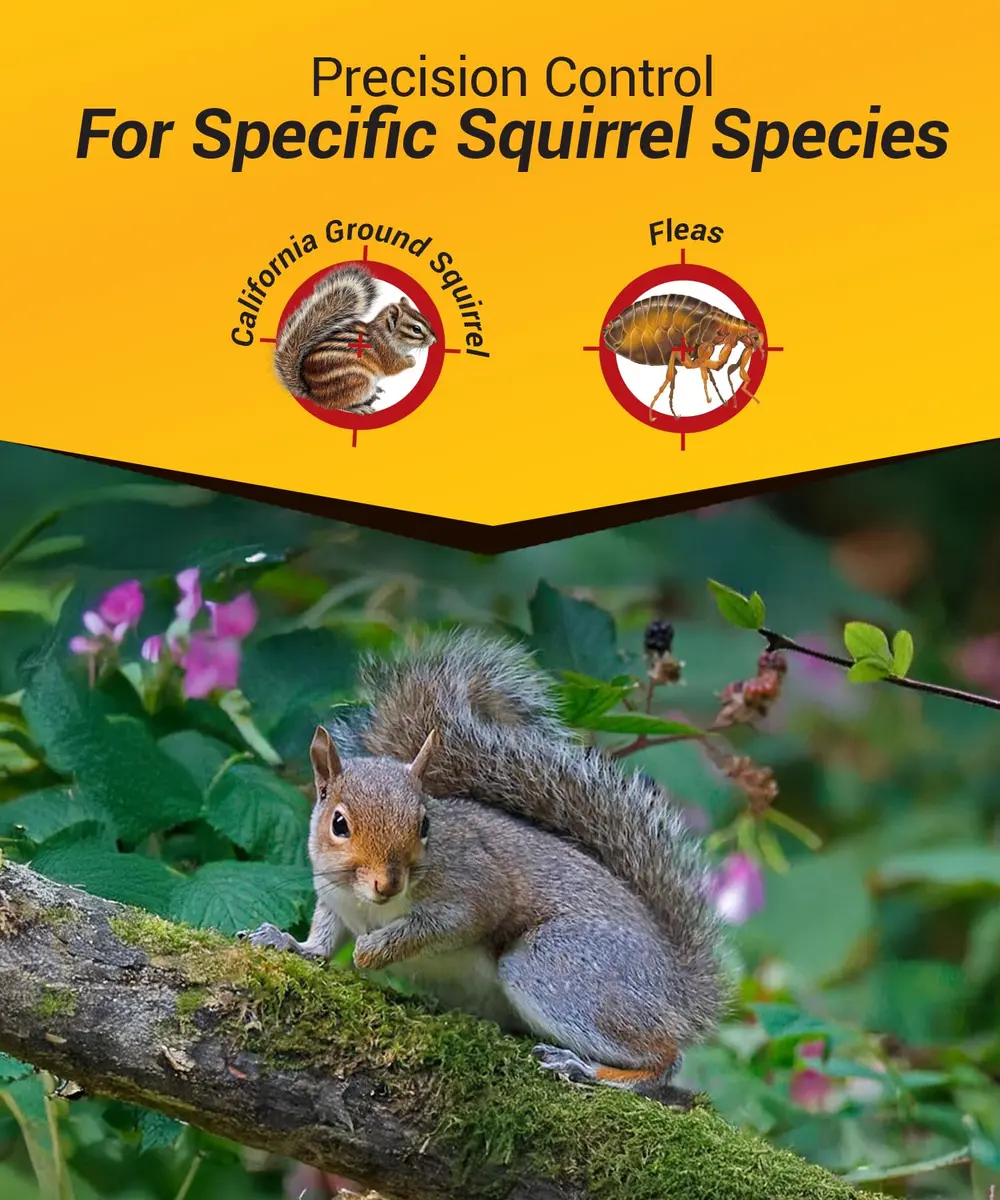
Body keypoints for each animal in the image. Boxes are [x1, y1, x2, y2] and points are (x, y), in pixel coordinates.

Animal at [242, 631, 726, 1106]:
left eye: (424, 824)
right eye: (338, 823)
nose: (388, 883)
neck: (370, 905)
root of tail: (677, 987)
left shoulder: (476, 887)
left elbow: (449, 922)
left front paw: (373, 951)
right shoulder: (333, 898)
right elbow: (322, 940)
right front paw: (288, 942)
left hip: (559, 966)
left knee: (665, 1056)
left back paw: (588, 1069)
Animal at [273, 263, 437, 414]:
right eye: (416, 329)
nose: (435, 340)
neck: (385, 334)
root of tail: (312, 392)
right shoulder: (385, 352)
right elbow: (393, 366)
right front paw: (411, 360)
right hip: (357, 381)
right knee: (337, 405)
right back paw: (359, 407)